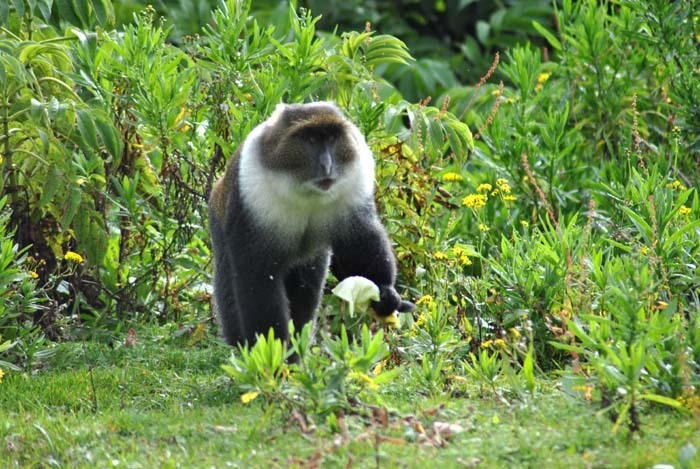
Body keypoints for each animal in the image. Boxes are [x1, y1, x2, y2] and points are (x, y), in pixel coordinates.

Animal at [208, 100, 416, 346]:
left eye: (332, 138)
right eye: (311, 140)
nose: (327, 165)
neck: (304, 189)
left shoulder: (355, 184)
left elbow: (360, 239)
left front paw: (384, 293)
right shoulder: (252, 195)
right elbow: (257, 275)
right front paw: (274, 349)